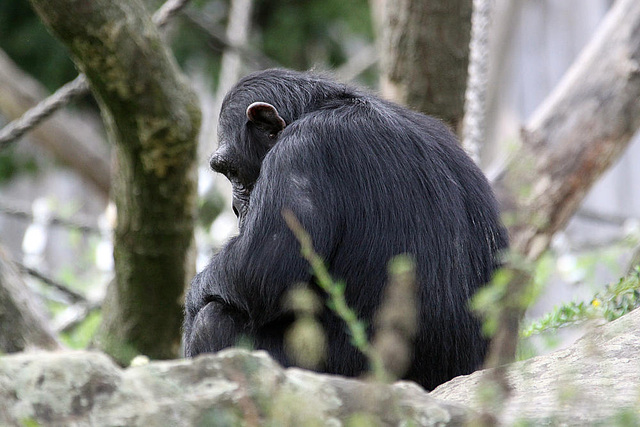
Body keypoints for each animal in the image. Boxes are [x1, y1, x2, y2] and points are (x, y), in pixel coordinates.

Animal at [182, 67, 508, 392]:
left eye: (232, 171)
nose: (236, 207)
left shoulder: (300, 153)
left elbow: (257, 268)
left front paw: (191, 302)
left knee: (214, 320)